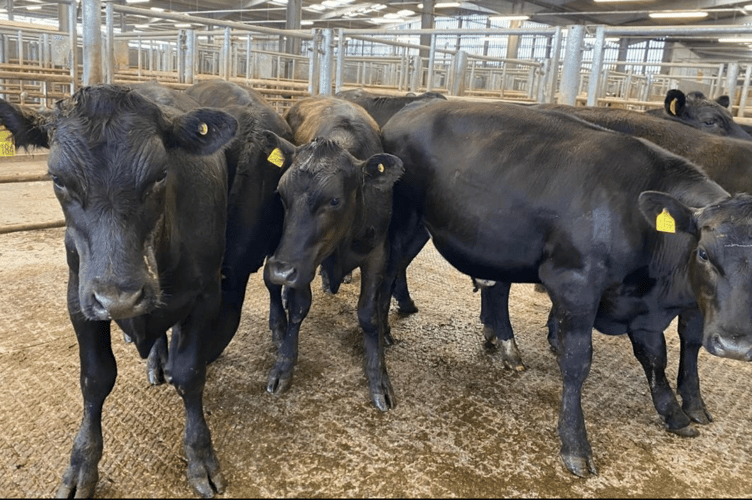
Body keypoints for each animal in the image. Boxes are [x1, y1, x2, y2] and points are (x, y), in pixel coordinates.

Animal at [0, 85, 240, 498]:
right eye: (58, 179)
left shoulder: (208, 293)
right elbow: (95, 378)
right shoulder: (78, 297)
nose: (119, 298)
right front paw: (82, 463)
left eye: (161, 175)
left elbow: (190, 373)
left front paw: (200, 455)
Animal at [262, 95, 403, 411]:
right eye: (281, 194)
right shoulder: (301, 260)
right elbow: (298, 308)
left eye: (335, 200)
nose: (282, 270)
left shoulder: (378, 253)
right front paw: (284, 365)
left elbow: (369, 315)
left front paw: (378, 376)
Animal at [381, 99, 752, 478]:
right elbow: (577, 362)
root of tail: (416, 105)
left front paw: (673, 413)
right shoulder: (574, 284)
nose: (735, 346)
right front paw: (575, 444)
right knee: (386, 275)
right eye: (703, 253)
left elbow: (655, 357)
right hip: (403, 225)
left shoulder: (644, 306)